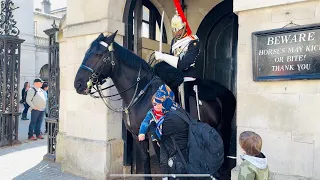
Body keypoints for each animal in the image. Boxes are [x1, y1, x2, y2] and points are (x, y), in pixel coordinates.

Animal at [74, 31, 236, 179]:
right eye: (87, 52)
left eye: (98, 55)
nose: (78, 84)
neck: (141, 93)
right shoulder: (138, 136)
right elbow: (146, 163)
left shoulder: (157, 137)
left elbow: (164, 165)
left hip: (224, 127)